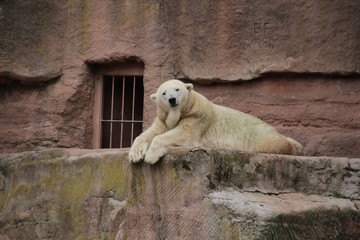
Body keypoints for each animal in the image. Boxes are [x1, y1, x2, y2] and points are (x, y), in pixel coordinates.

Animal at [129, 79, 304, 164]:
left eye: (177, 89)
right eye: (163, 93)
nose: (172, 100)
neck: (181, 112)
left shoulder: (197, 117)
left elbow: (183, 133)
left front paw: (150, 156)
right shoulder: (163, 119)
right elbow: (149, 133)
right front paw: (135, 154)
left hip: (262, 137)